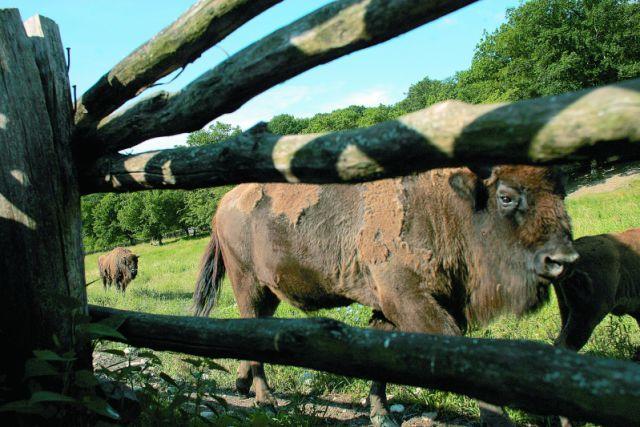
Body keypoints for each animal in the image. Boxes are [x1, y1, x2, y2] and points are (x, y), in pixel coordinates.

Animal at [193, 166, 578, 426]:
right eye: (506, 196)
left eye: (561, 192)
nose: (562, 259)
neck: (445, 206)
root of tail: (224, 203)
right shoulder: (411, 301)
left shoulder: (390, 308)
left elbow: (382, 356)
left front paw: (381, 414)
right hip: (248, 284)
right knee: (251, 327)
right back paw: (266, 400)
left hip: (268, 291)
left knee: (256, 330)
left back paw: (242, 385)